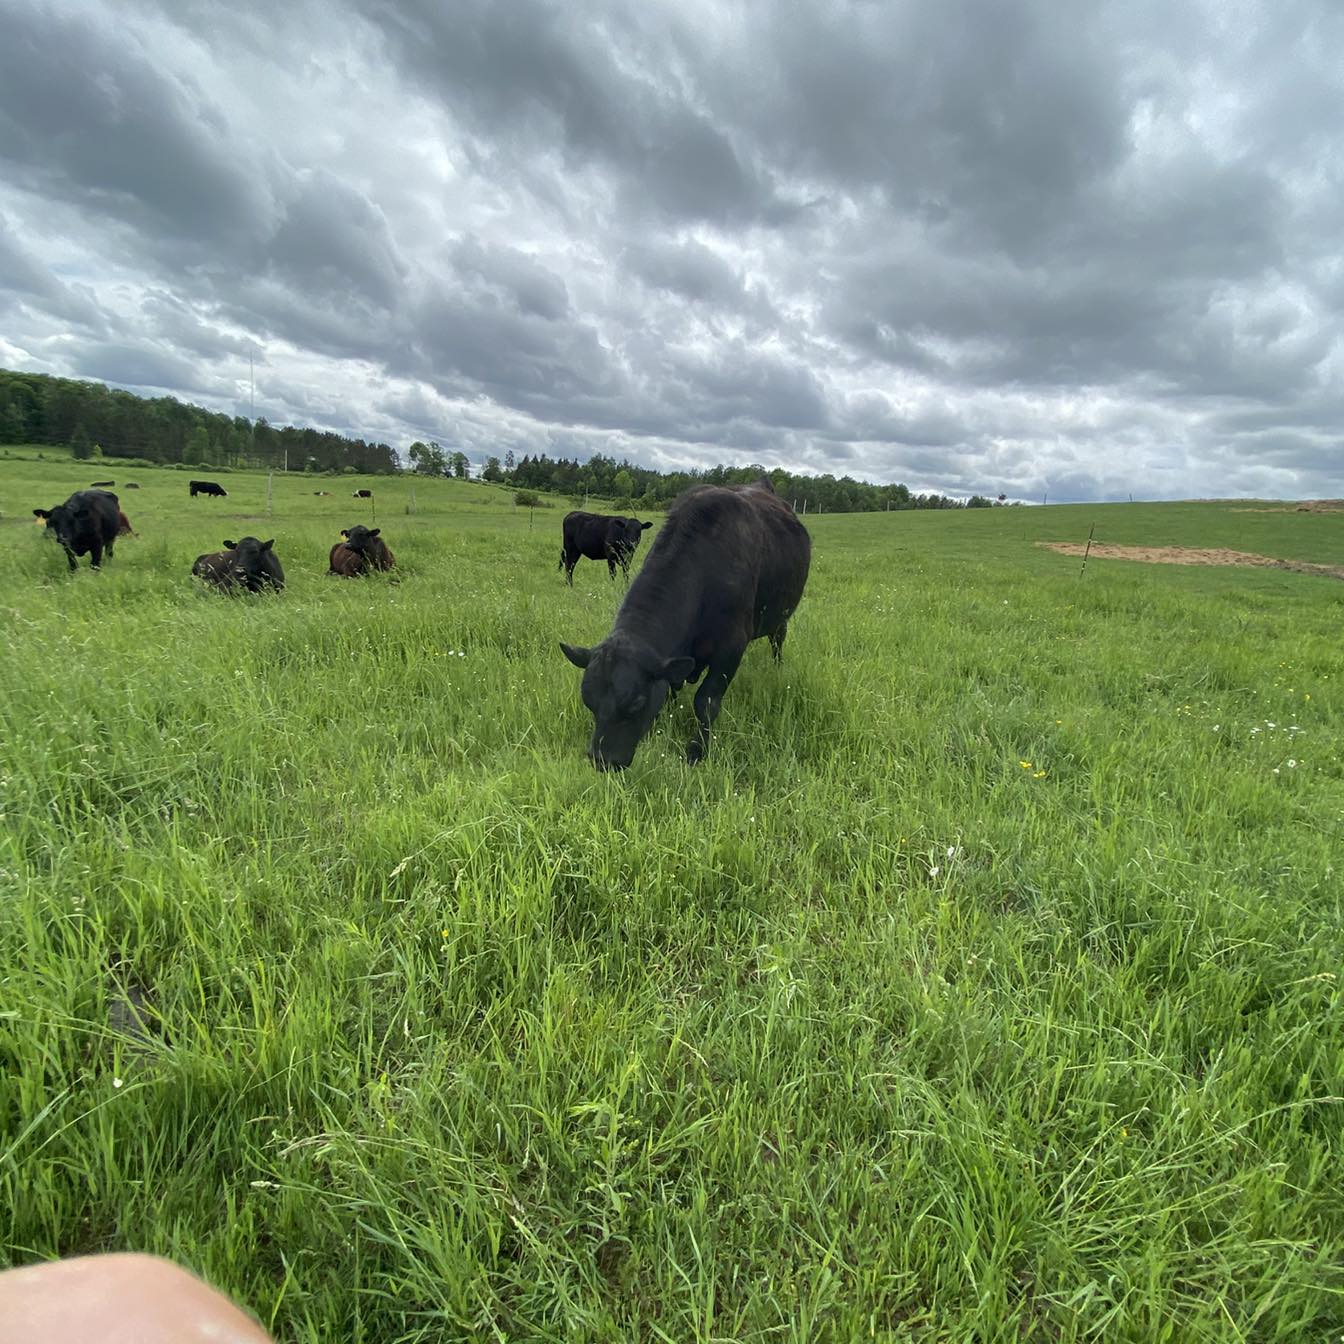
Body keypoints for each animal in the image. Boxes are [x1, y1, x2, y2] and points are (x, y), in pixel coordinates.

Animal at [560, 479, 810, 770]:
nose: (602, 760)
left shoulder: (731, 648)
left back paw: (777, 668)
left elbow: (706, 702)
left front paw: (696, 751)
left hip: (781, 616)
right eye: (589, 701)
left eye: (636, 703)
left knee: (777, 641)